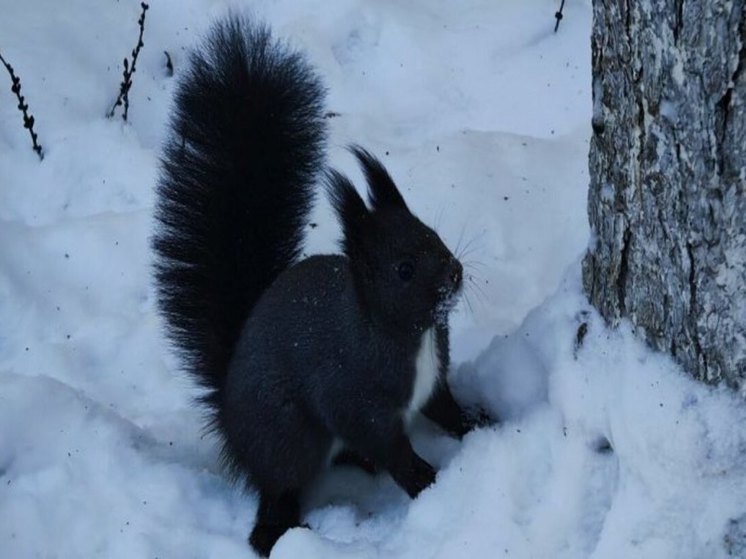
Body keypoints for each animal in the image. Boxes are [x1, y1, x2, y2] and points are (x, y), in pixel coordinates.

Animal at [154, 15, 480, 556]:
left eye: (432, 234)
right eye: (404, 269)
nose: (454, 273)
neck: (411, 334)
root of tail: (229, 420)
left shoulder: (434, 379)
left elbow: (445, 407)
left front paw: (481, 424)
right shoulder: (352, 395)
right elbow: (388, 445)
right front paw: (424, 480)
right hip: (289, 434)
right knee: (278, 488)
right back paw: (275, 531)